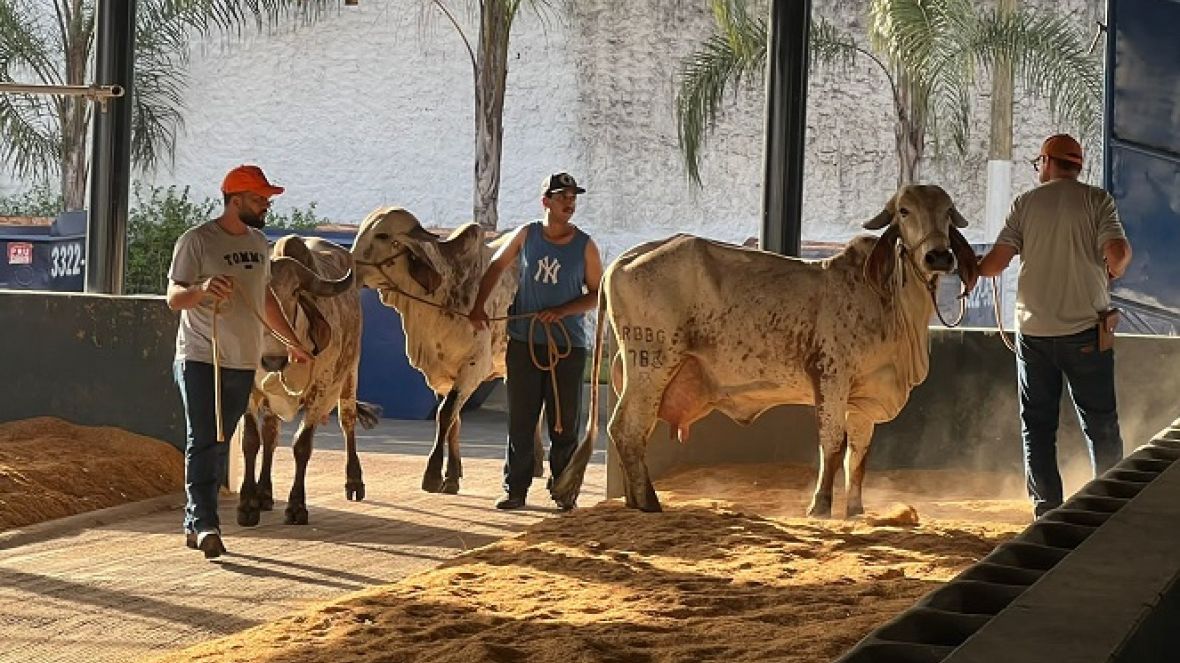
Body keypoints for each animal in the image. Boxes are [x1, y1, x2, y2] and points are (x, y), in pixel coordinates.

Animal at [232, 234, 375, 523]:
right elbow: (251, 440)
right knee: (270, 435)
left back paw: (354, 481)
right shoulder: (250, 390)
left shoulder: (321, 392)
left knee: (348, 422)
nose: (272, 360)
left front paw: (296, 506)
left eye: (295, 293)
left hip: (349, 377)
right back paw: (264, 493)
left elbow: (301, 446)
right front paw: (248, 504)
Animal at [556, 184, 981, 516]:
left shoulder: (864, 396)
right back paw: (648, 501)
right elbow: (832, 444)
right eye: (904, 211)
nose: (938, 256)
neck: (889, 300)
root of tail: (626, 258)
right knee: (626, 428)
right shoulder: (832, 377)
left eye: (947, 212)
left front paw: (856, 510)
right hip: (651, 363)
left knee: (634, 432)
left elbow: (858, 454)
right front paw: (820, 506)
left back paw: (634, 500)